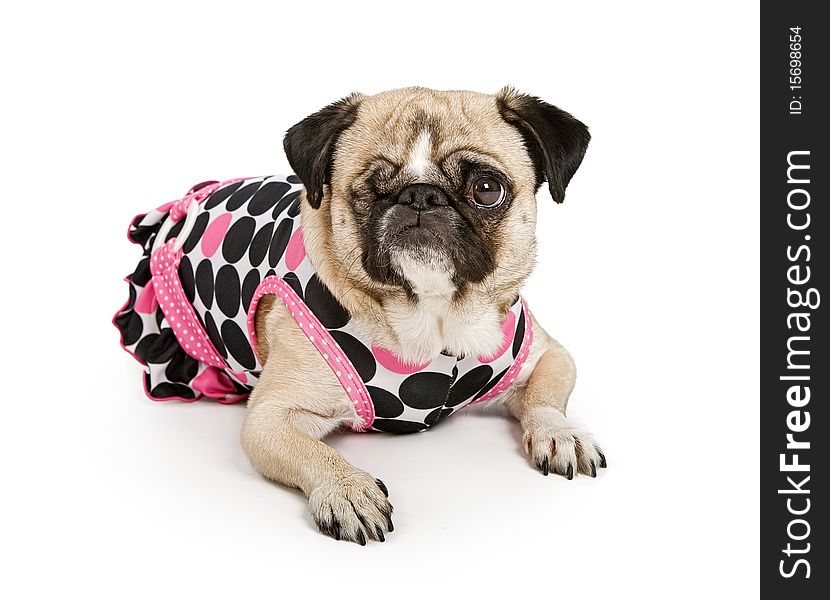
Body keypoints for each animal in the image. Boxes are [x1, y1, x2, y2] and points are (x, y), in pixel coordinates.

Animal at [244, 88, 600, 544]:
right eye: (370, 190)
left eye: (487, 189)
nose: (420, 195)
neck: (435, 314)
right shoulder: (270, 417)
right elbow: (314, 451)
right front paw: (347, 489)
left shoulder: (549, 356)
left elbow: (546, 399)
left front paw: (558, 433)